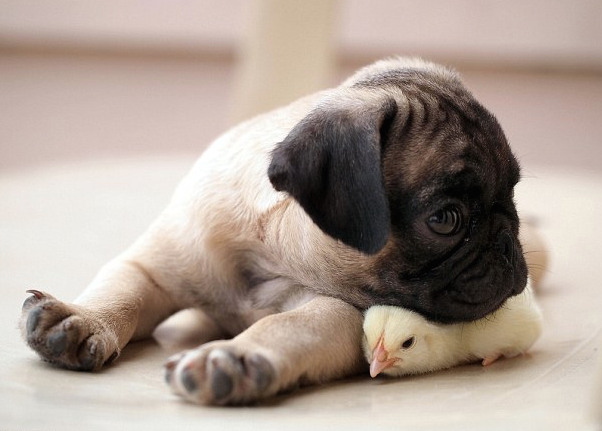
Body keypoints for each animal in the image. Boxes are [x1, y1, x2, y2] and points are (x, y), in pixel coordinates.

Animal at [18, 57, 524, 404]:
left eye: (514, 194)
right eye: (445, 220)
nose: (506, 242)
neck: (263, 245)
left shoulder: (337, 310)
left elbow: (287, 325)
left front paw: (234, 357)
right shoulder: (156, 267)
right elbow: (122, 292)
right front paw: (82, 318)